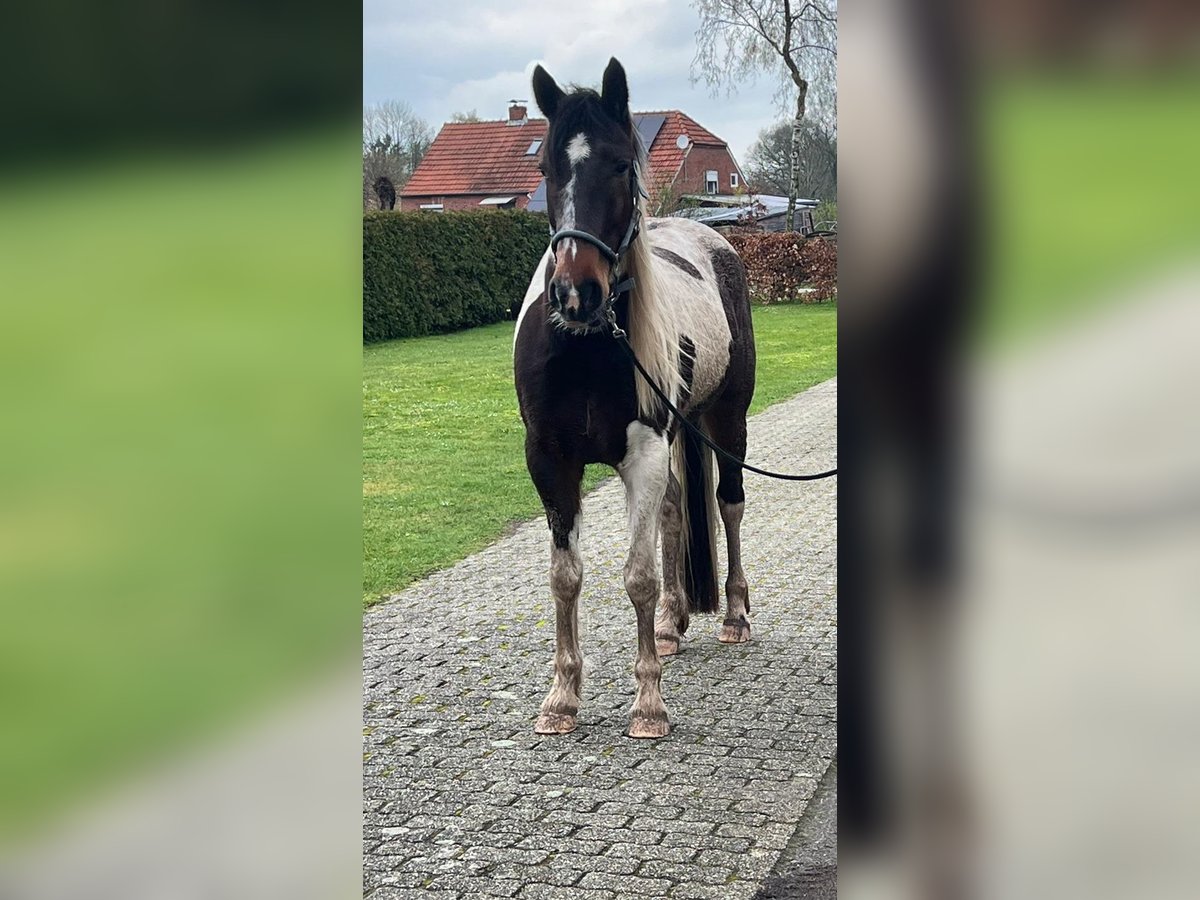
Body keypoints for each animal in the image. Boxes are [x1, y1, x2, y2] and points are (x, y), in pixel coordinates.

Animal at [511, 61, 753, 739]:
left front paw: (648, 704)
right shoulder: (550, 462)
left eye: (622, 165)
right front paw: (562, 697)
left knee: (728, 505)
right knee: (673, 513)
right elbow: (565, 578)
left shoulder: (642, 454)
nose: (577, 293)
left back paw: (733, 615)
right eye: (547, 170)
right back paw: (672, 624)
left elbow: (638, 577)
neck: (589, 349)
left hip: (727, 424)